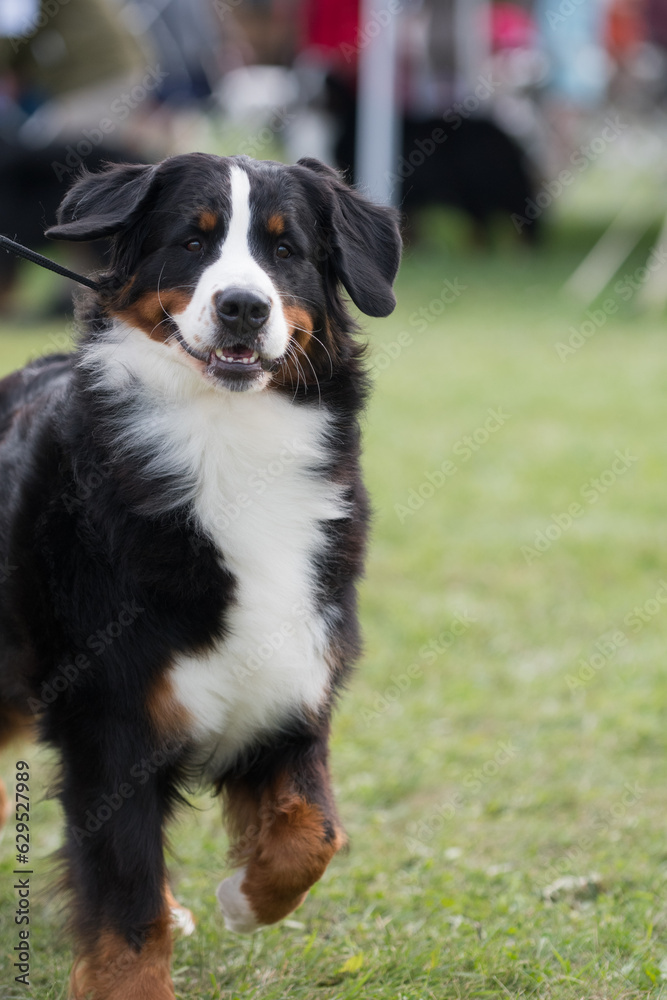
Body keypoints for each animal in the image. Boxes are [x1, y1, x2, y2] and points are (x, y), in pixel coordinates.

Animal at [0, 152, 402, 996]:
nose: (243, 308)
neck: (228, 443)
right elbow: (125, 913)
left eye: (285, 249)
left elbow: (316, 832)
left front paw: (244, 898)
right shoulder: (111, 720)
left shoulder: (290, 689)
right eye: (193, 240)